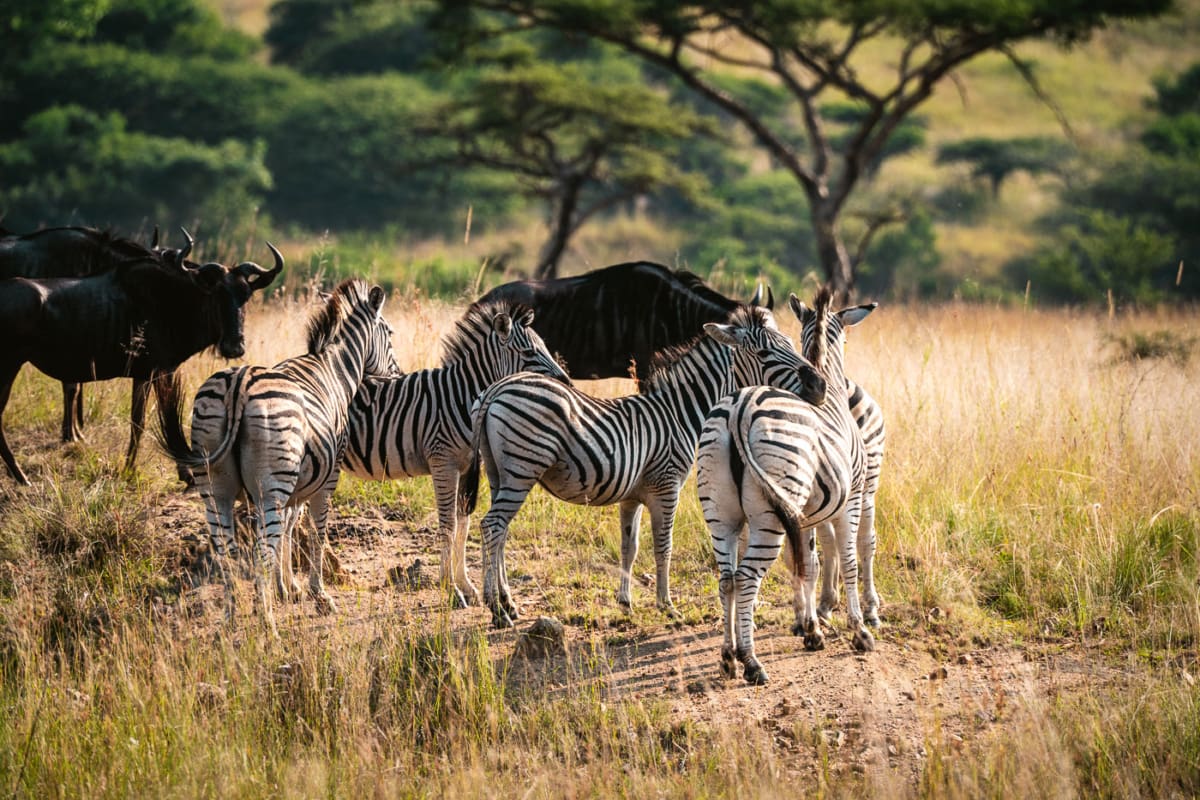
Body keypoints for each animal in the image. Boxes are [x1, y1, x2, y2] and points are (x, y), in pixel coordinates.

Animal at [159, 279, 398, 634]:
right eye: (390, 334)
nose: (397, 375)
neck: (334, 371)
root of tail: (238, 383)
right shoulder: (327, 477)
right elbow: (315, 533)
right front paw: (317, 595)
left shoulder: (295, 484)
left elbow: (288, 529)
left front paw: (287, 588)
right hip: (272, 485)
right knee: (260, 551)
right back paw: (266, 622)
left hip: (215, 484)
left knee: (225, 548)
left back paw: (233, 614)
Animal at [338, 300, 569, 608]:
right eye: (530, 352)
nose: (567, 383)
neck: (461, 396)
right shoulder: (443, 463)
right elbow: (447, 524)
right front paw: (451, 590)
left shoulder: (466, 466)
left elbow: (464, 522)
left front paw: (466, 585)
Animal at [462, 304, 828, 628]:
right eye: (765, 354)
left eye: (791, 344)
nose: (820, 386)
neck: (678, 412)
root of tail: (497, 388)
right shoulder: (666, 487)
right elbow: (662, 546)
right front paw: (666, 605)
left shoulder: (631, 495)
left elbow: (630, 547)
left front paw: (625, 602)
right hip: (522, 469)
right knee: (492, 526)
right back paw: (496, 609)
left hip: (499, 472)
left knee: (500, 531)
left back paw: (507, 602)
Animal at [696, 287, 875, 685]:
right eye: (765, 352)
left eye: (791, 342)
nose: (818, 387)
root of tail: (740, 407)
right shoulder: (851, 498)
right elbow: (848, 561)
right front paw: (858, 631)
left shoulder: (801, 513)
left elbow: (806, 564)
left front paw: (811, 629)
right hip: (770, 518)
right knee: (746, 577)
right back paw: (751, 662)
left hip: (722, 513)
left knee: (727, 578)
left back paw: (728, 658)